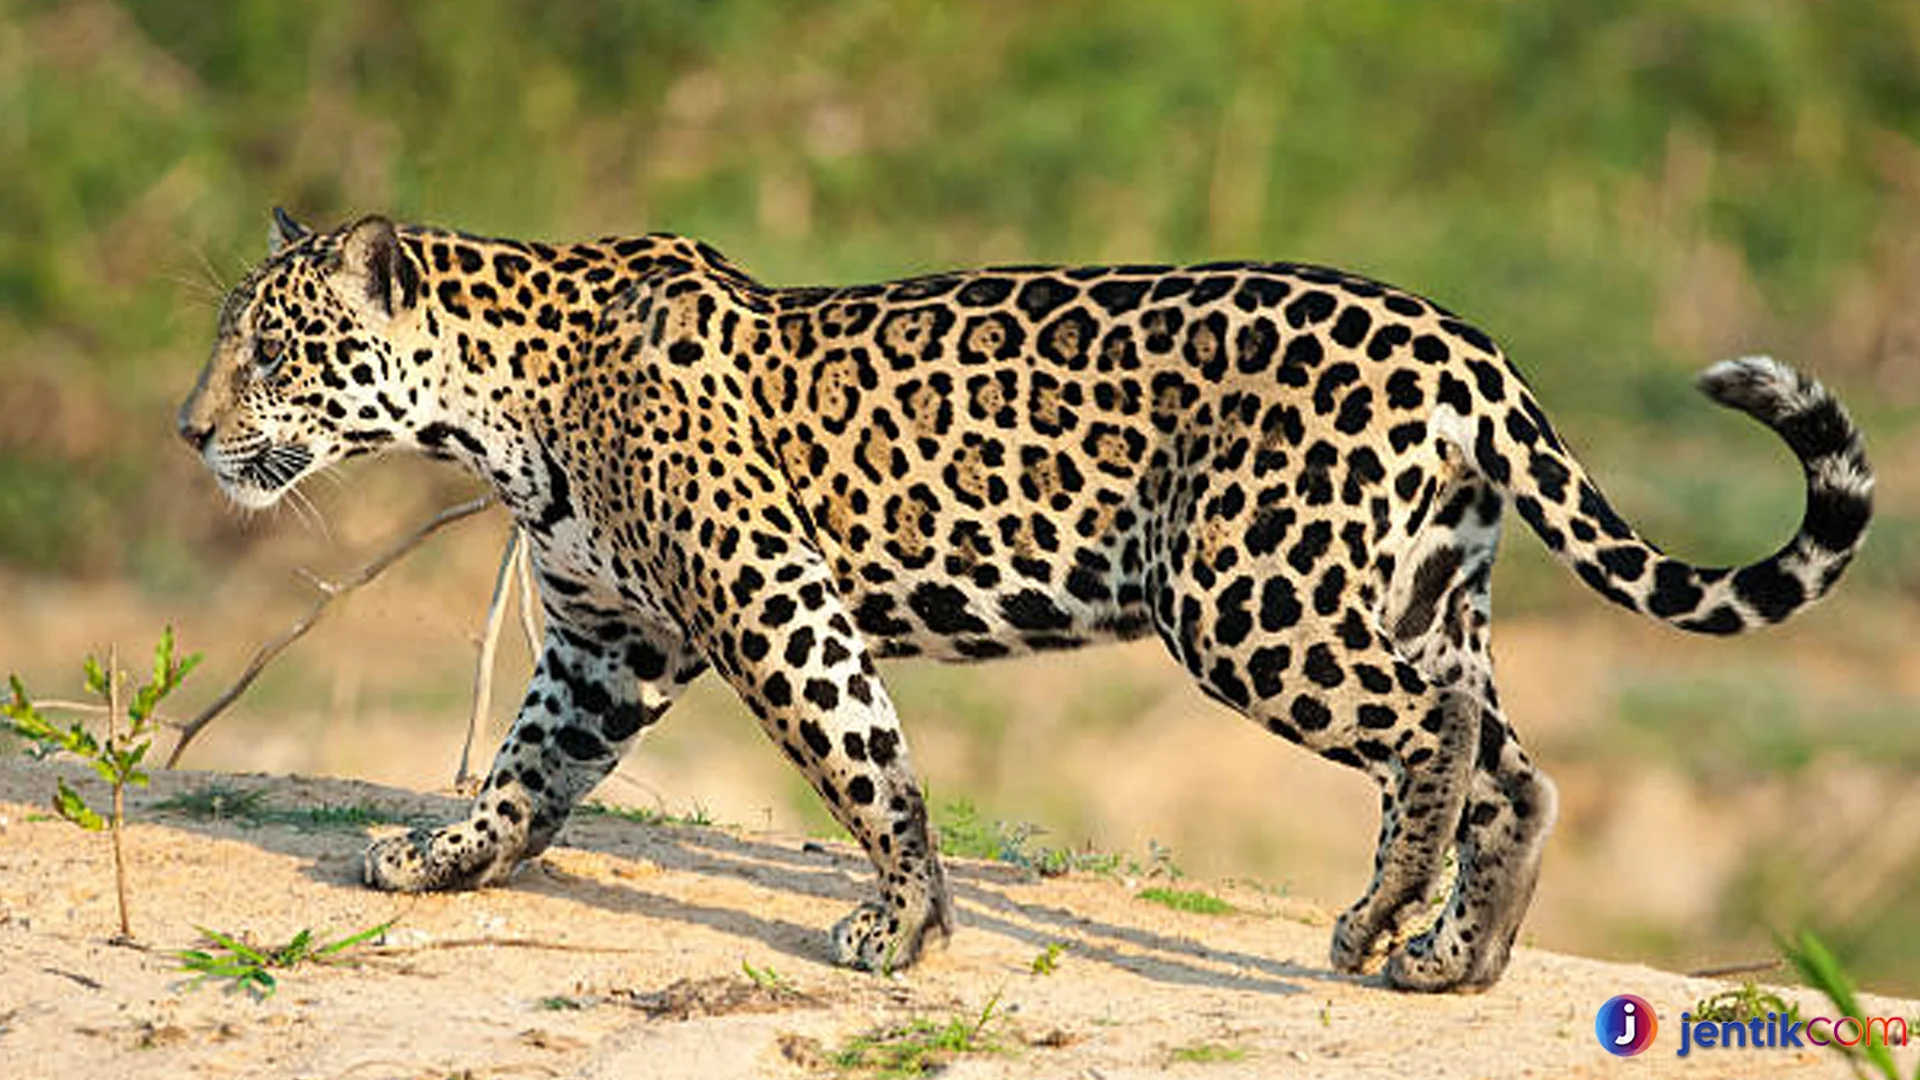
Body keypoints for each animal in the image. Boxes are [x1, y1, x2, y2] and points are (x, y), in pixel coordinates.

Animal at [177, 209, 1873, 992]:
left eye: (268, 350)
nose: (189, 434)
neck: (498, 401)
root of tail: (1460, 341)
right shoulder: (608, 639)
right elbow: (530, 773)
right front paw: (441, 859)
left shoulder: (768, 600)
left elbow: (861, 757)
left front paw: (902, 925)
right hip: (1412, 587)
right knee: (1517, 766)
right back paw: (1460, 952)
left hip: (1250, 602)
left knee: (1431, 735)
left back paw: (1380, 916)